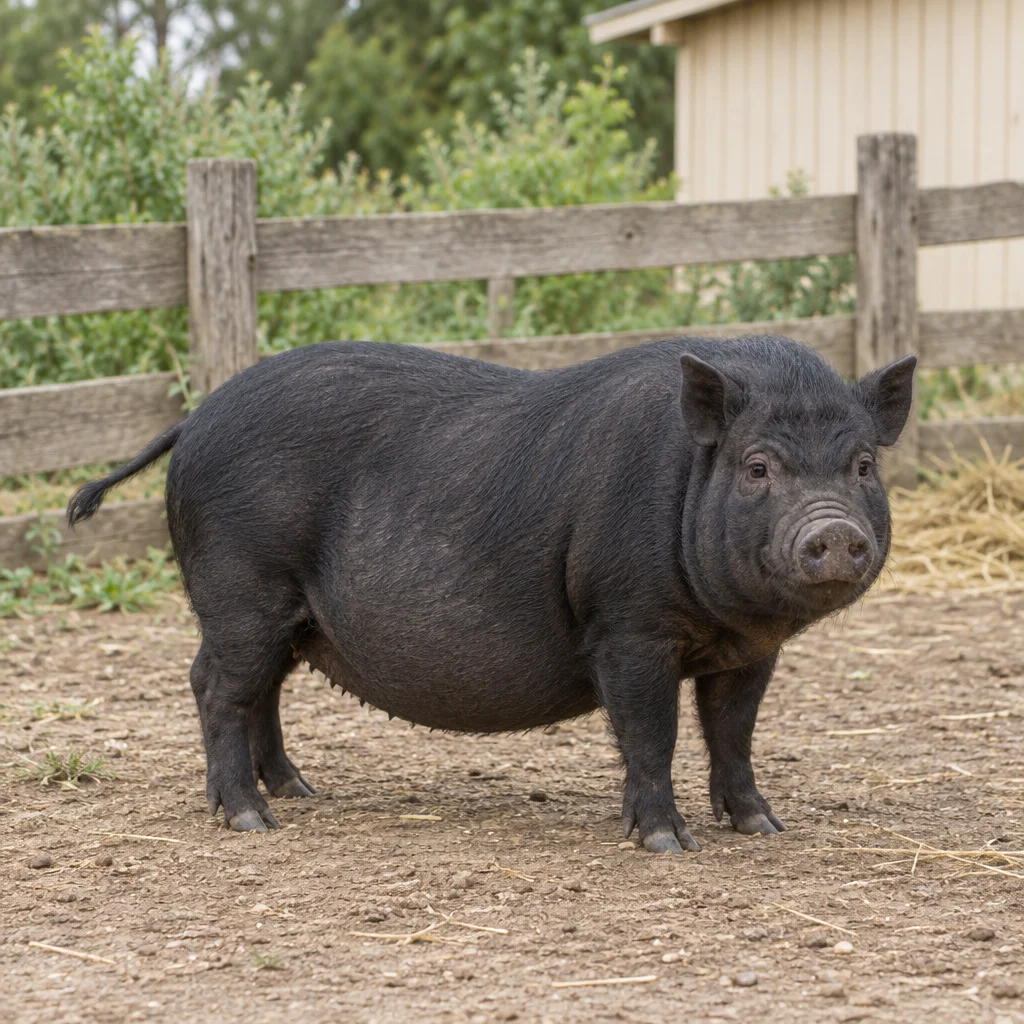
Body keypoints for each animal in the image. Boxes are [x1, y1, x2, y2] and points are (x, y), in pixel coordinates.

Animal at [68, 336, 915, 853]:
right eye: (758, 466)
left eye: (863, 464)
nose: (834, 532)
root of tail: (193, 420)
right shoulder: (626, 627)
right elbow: (652, 734)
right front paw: (667, 842)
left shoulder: (747, 652)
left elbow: (733, 734)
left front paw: (764, 827)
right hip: (240, 587)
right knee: (215, 685)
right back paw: (252, 819)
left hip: (284, 614)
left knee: (261, 691)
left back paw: (302, 789)